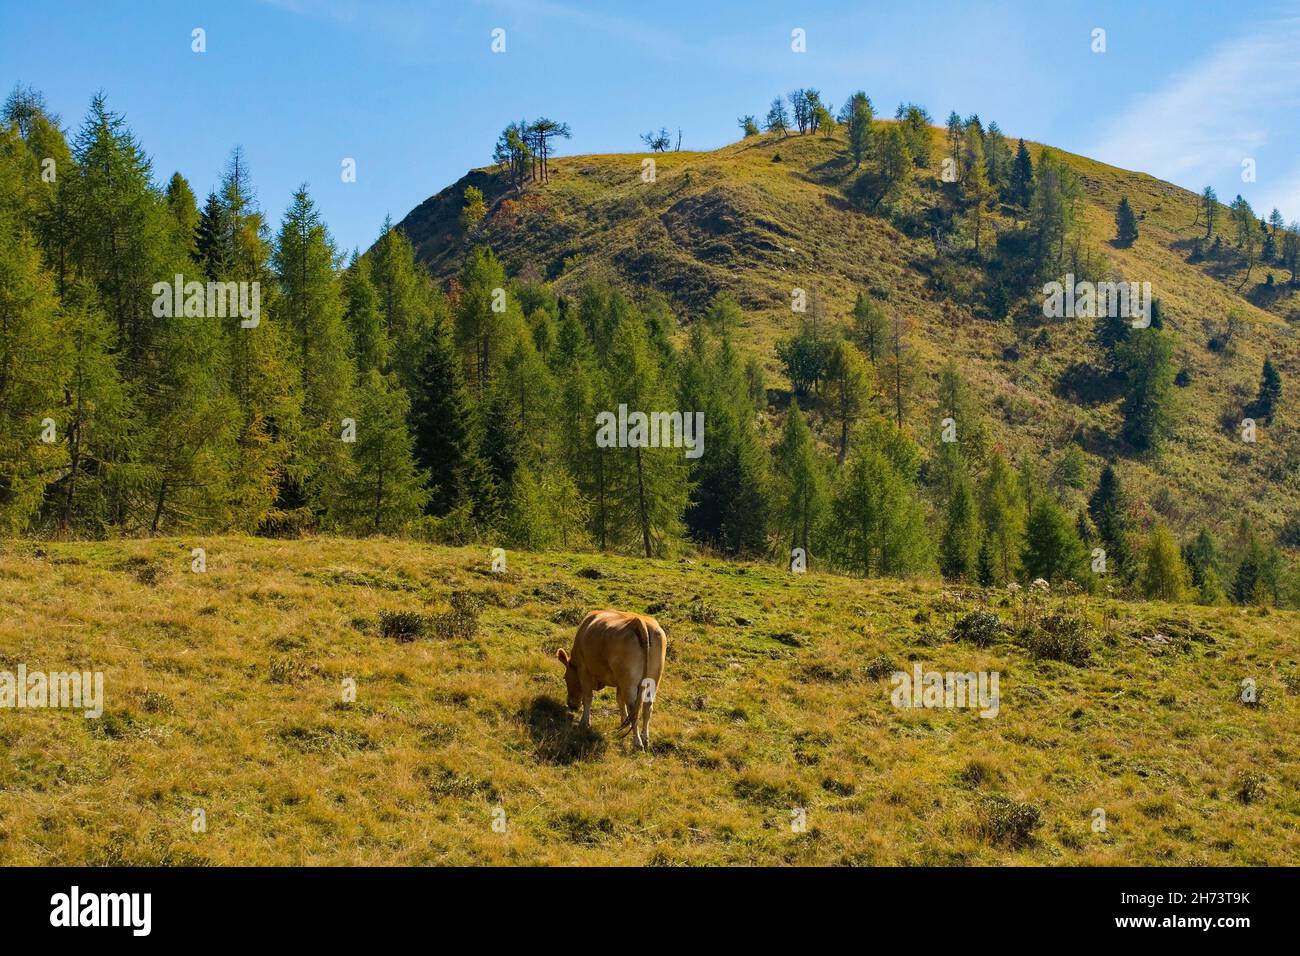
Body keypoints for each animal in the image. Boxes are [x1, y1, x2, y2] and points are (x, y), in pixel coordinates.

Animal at [553, 608, 665, 749]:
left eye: (565, 678)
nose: (571, 705)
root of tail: (639, 621)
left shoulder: (584, 671)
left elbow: (588, 697)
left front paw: (584, 722)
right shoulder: (619, 681)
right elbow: (619, 700)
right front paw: (624, 723)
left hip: (629, 683)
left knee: (634, 710)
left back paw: (637, 742)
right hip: (652, 680)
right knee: (647, 708)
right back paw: (645, 739)